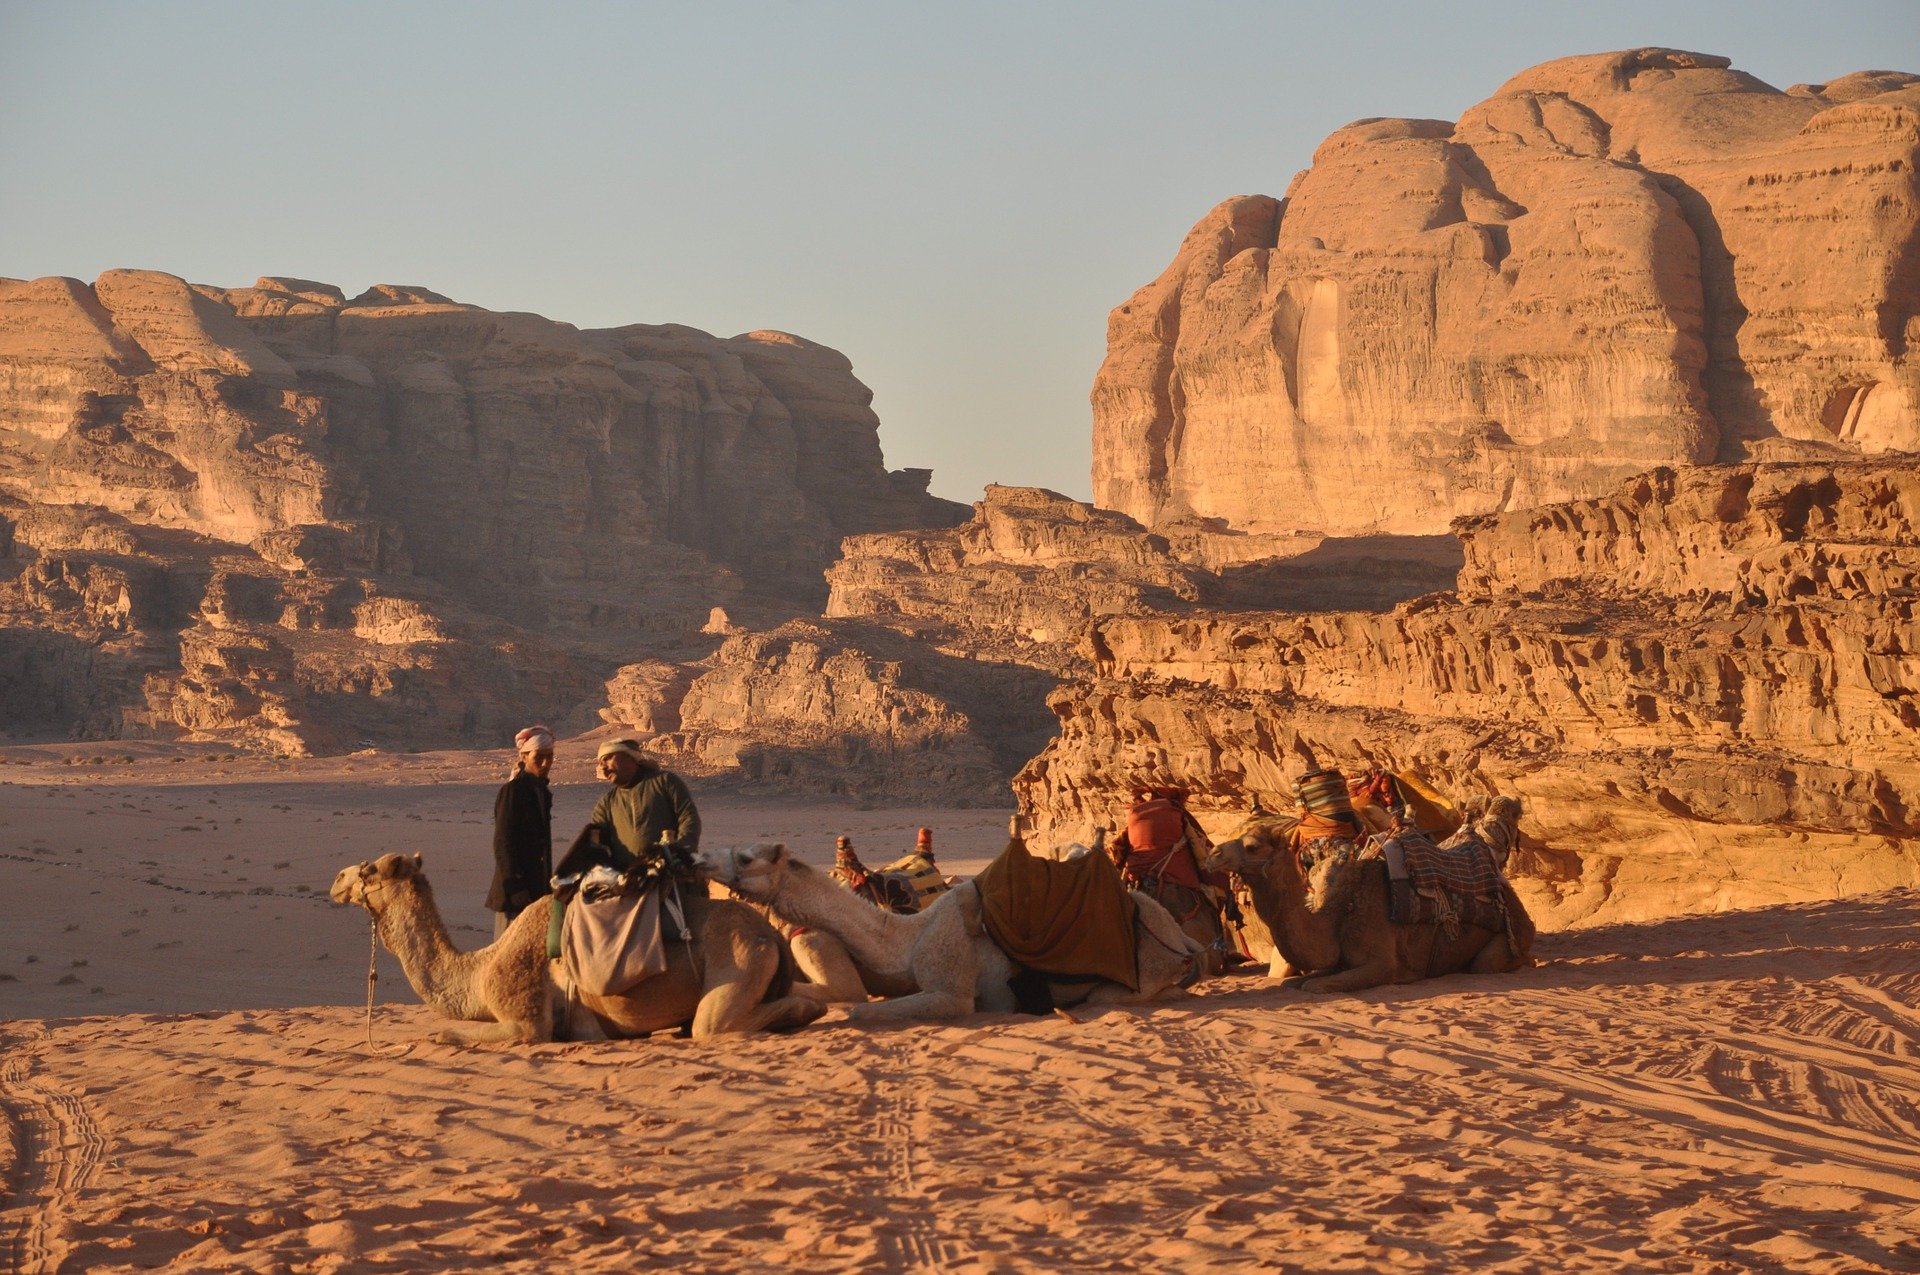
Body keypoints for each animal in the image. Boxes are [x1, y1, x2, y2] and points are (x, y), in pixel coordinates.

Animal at [330, 852, 825, 1044]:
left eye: (370, 870)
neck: (479, 970)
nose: (337, 881)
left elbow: (450, 1033)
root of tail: (769, 935)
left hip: (738, 961)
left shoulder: (525, 1018)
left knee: (714, 1024)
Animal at [706, 837, 1198, 1029]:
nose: (701, 858)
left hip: (1146, 967)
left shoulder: (952, 992)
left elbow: (860, 1010)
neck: (907, 937)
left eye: (747, 857)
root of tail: (1182, 937)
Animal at [1205, 806, 1536, 998]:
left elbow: (1315, 985)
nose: (1213, 855)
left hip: (1506, 943)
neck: (1341, 911)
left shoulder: (1381, 963)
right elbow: (1296, 981)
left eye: (1252, 846)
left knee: (1488, 964)